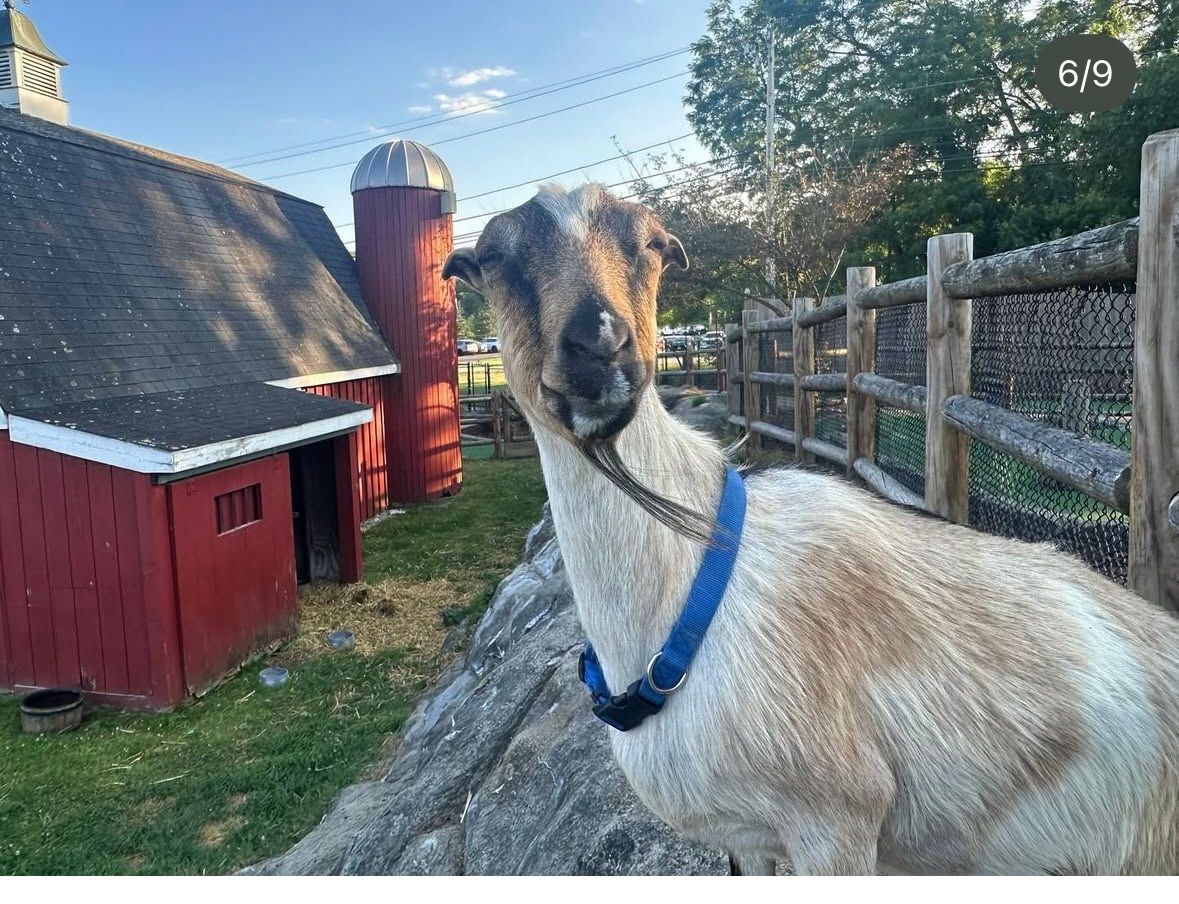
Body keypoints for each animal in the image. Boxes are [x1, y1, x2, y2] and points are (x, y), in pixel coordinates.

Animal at [443, 183, 1179, 875]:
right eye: (489, 259)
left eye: (653, 245)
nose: (599, 348)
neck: (692, 590)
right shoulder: (744, 838)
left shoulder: (838, 820)